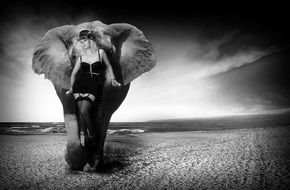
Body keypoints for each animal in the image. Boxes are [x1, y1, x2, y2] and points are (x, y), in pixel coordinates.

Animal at [31, 20, 156, 171]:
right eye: (73, 57)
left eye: (111, 53)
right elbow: (70, 109)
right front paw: (76, 161)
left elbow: (104, 113)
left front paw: (93, 161)